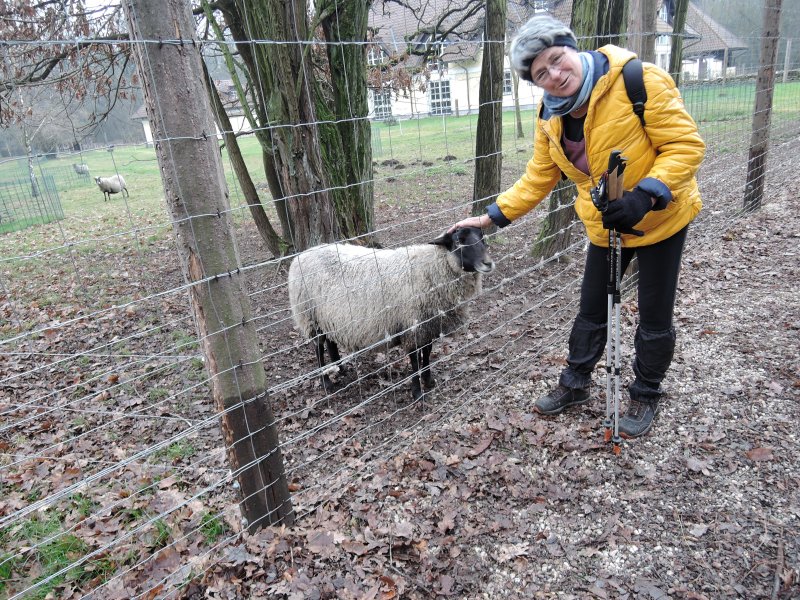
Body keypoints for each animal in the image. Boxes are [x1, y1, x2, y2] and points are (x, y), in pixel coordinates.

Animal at [284, 227, 490, 400]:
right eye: (459, 241)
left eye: (482, 238)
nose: (488, 263)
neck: (431, 267)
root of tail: (301, 256)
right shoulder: (411, 326)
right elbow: (415, 361)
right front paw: (417, 392)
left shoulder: (426, 325)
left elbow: (427, 353)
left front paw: (428, 380)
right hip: (309, 316)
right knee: (318, 348)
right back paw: (326, 382)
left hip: (327, 317)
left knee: (331, 342)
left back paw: (340, 369)